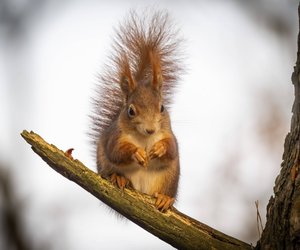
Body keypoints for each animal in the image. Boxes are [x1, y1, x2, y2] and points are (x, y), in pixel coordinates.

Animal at [91, 10, 184, 212]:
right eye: (131, 111)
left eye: (162, 107)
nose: (150, 130)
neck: (144, 138)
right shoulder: (116, 136)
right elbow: (116, 150)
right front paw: (137, 152)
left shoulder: (169, 134)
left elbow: (172, 148)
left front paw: (159, 148)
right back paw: (118, 178)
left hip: (170, 178)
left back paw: (165, 198)